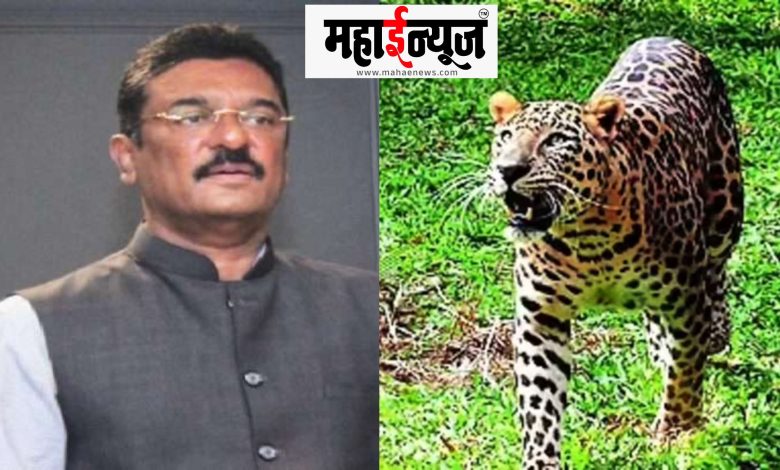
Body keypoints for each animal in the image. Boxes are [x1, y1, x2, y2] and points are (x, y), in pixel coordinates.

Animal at [486, 37, 743, 469]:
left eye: (556, 140)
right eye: (504, 138)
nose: (508, 170)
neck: (589, 240)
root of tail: (666, 37)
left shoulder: (687, 300)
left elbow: (686, 370)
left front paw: (677, 431)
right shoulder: (541, 318)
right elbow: (540, 405)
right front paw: (540, 460)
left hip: (726, 209)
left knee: (717, 270)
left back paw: (717, 330)